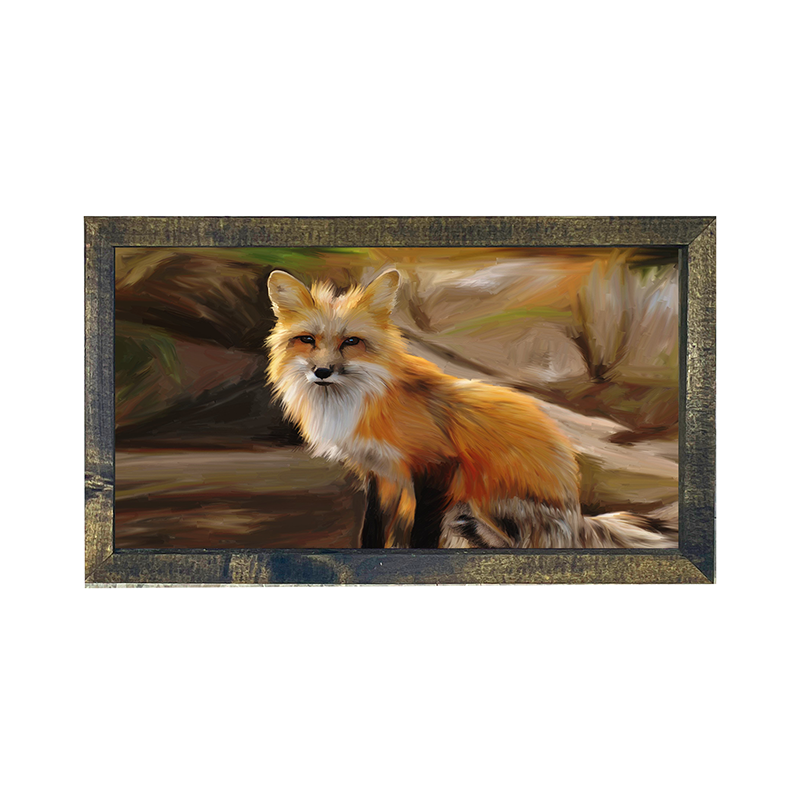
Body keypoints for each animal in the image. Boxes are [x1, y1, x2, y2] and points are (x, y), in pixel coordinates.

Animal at [266, 268, 677, 549]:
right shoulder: (378, 473)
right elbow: (373, 530)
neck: (360, 401)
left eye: (351, 342)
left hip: (476, 505)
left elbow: (417, 533)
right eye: (307, 340)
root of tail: (577, 518)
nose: (322, 372)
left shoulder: (438, 467)